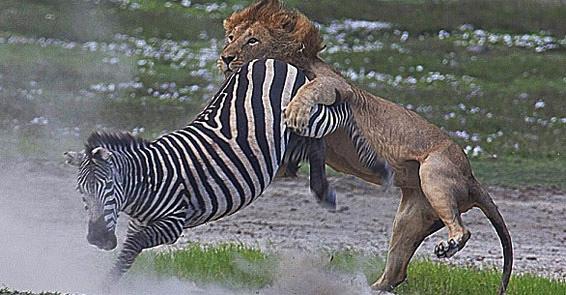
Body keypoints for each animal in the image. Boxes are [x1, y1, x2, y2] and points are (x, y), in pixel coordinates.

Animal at [63, 58, 390, 282]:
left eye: (109, 187)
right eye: (82, 191)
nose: (98, 239)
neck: (148, 179)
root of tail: (270, 60)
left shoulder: (172, 224)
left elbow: (132, 246)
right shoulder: (138, 223)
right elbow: (126, 256)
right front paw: (108, 281)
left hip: (304, 114)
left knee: (341, 112)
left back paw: (379, 168)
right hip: (286, 131)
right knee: (315, 144)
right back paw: (321, 189)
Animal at [220, 1, 516, 294]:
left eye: (253, 40)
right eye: (231, 38)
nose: (225, 58)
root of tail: (471, 177)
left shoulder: (337, 86)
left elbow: (312, 88)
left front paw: (295, 111)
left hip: (434, 173)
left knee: (462, 230)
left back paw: (449, 245)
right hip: (412, 216)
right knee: (397, 272)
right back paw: (369, 286)